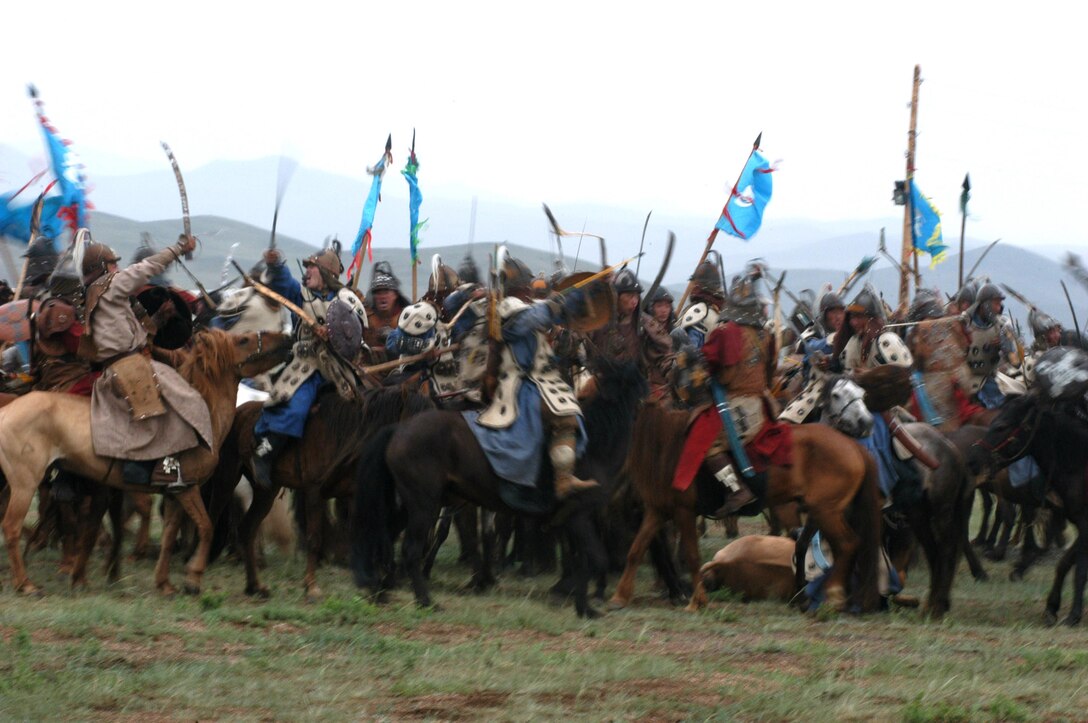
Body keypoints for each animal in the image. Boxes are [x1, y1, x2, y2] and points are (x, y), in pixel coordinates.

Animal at [0, 330, 291, 595]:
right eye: (243, 340)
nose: (287, 338)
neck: (202, 416)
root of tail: (6, 411)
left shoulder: (175, 494)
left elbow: (169, 535)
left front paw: (164, 582)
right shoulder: (187, 488)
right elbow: (206, 527)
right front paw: (193, 578)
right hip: (25, 484)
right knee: (11, 526)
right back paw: (25, 583)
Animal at [352, 358, 644, 617]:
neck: (596, 443)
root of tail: (398, 431)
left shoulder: (572, 518)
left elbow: (584, 558)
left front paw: (580, 603)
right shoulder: (579, 514)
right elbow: (595, 557)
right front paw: (584, 605)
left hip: (414, 503)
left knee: (387, 536)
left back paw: (381, 589)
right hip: (424, 504)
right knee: (409, 549)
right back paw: (425, 600)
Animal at [609, 402, 887, 613]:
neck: (665, 445)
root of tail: (854, 447)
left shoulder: (683, 512)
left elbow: (692, 556)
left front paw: (697, 602)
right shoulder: (657, 511)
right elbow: (636, 550)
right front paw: (619, 597)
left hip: (827, 511)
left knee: (847, 544)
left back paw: (834, 596)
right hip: (819, 511)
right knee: (810, 546)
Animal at [970, 391, 1088, 621]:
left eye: (1001, 426)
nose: (973, 459)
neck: (1080, 463)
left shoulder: (1086, 525)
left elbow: (1078, 571)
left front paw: (1073, 615)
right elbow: (1064, 564)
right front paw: (1051, 607)